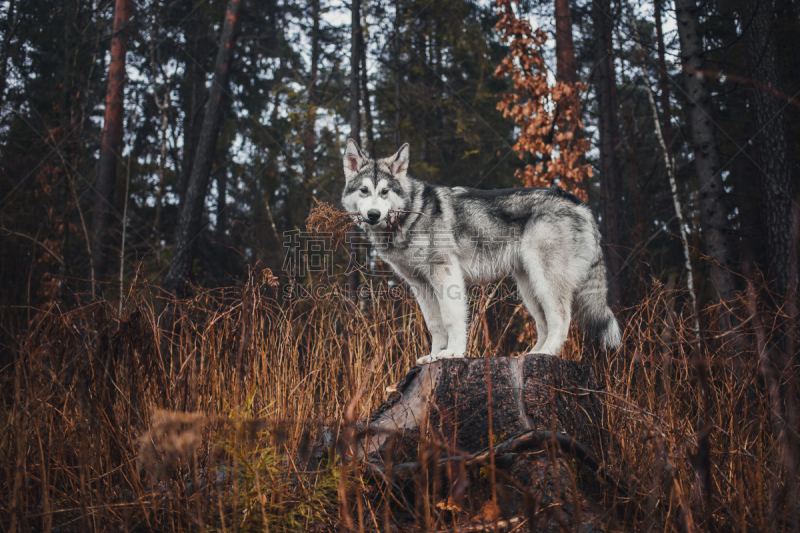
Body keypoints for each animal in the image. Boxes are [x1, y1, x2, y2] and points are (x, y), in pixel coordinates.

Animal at [338, 139, 620, 364]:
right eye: (364, 191)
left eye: (385, 192)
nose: (373, 214)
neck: (411, 216)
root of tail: (578, 202)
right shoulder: (420, 285)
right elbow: (435, 324)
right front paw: (434, 355)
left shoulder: (446, 274)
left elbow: (452, 319)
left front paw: (452, 353)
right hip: (529, 288)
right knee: (543, 324)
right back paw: (530, 355)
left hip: (546, 282)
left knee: (561, 319)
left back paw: (547, 353)